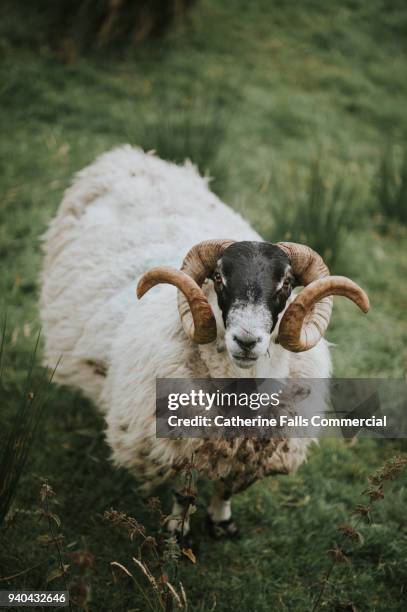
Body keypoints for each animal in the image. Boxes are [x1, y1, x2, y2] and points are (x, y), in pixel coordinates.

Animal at [40, 147, 370, 540]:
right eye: (219, 277)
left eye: (287, 283)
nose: (247, 340)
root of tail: (130, 156)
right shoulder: (180, 440)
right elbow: (184, 490)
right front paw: (176, 530)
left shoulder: (248, 450)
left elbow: (228, 486)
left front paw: (222, 522)